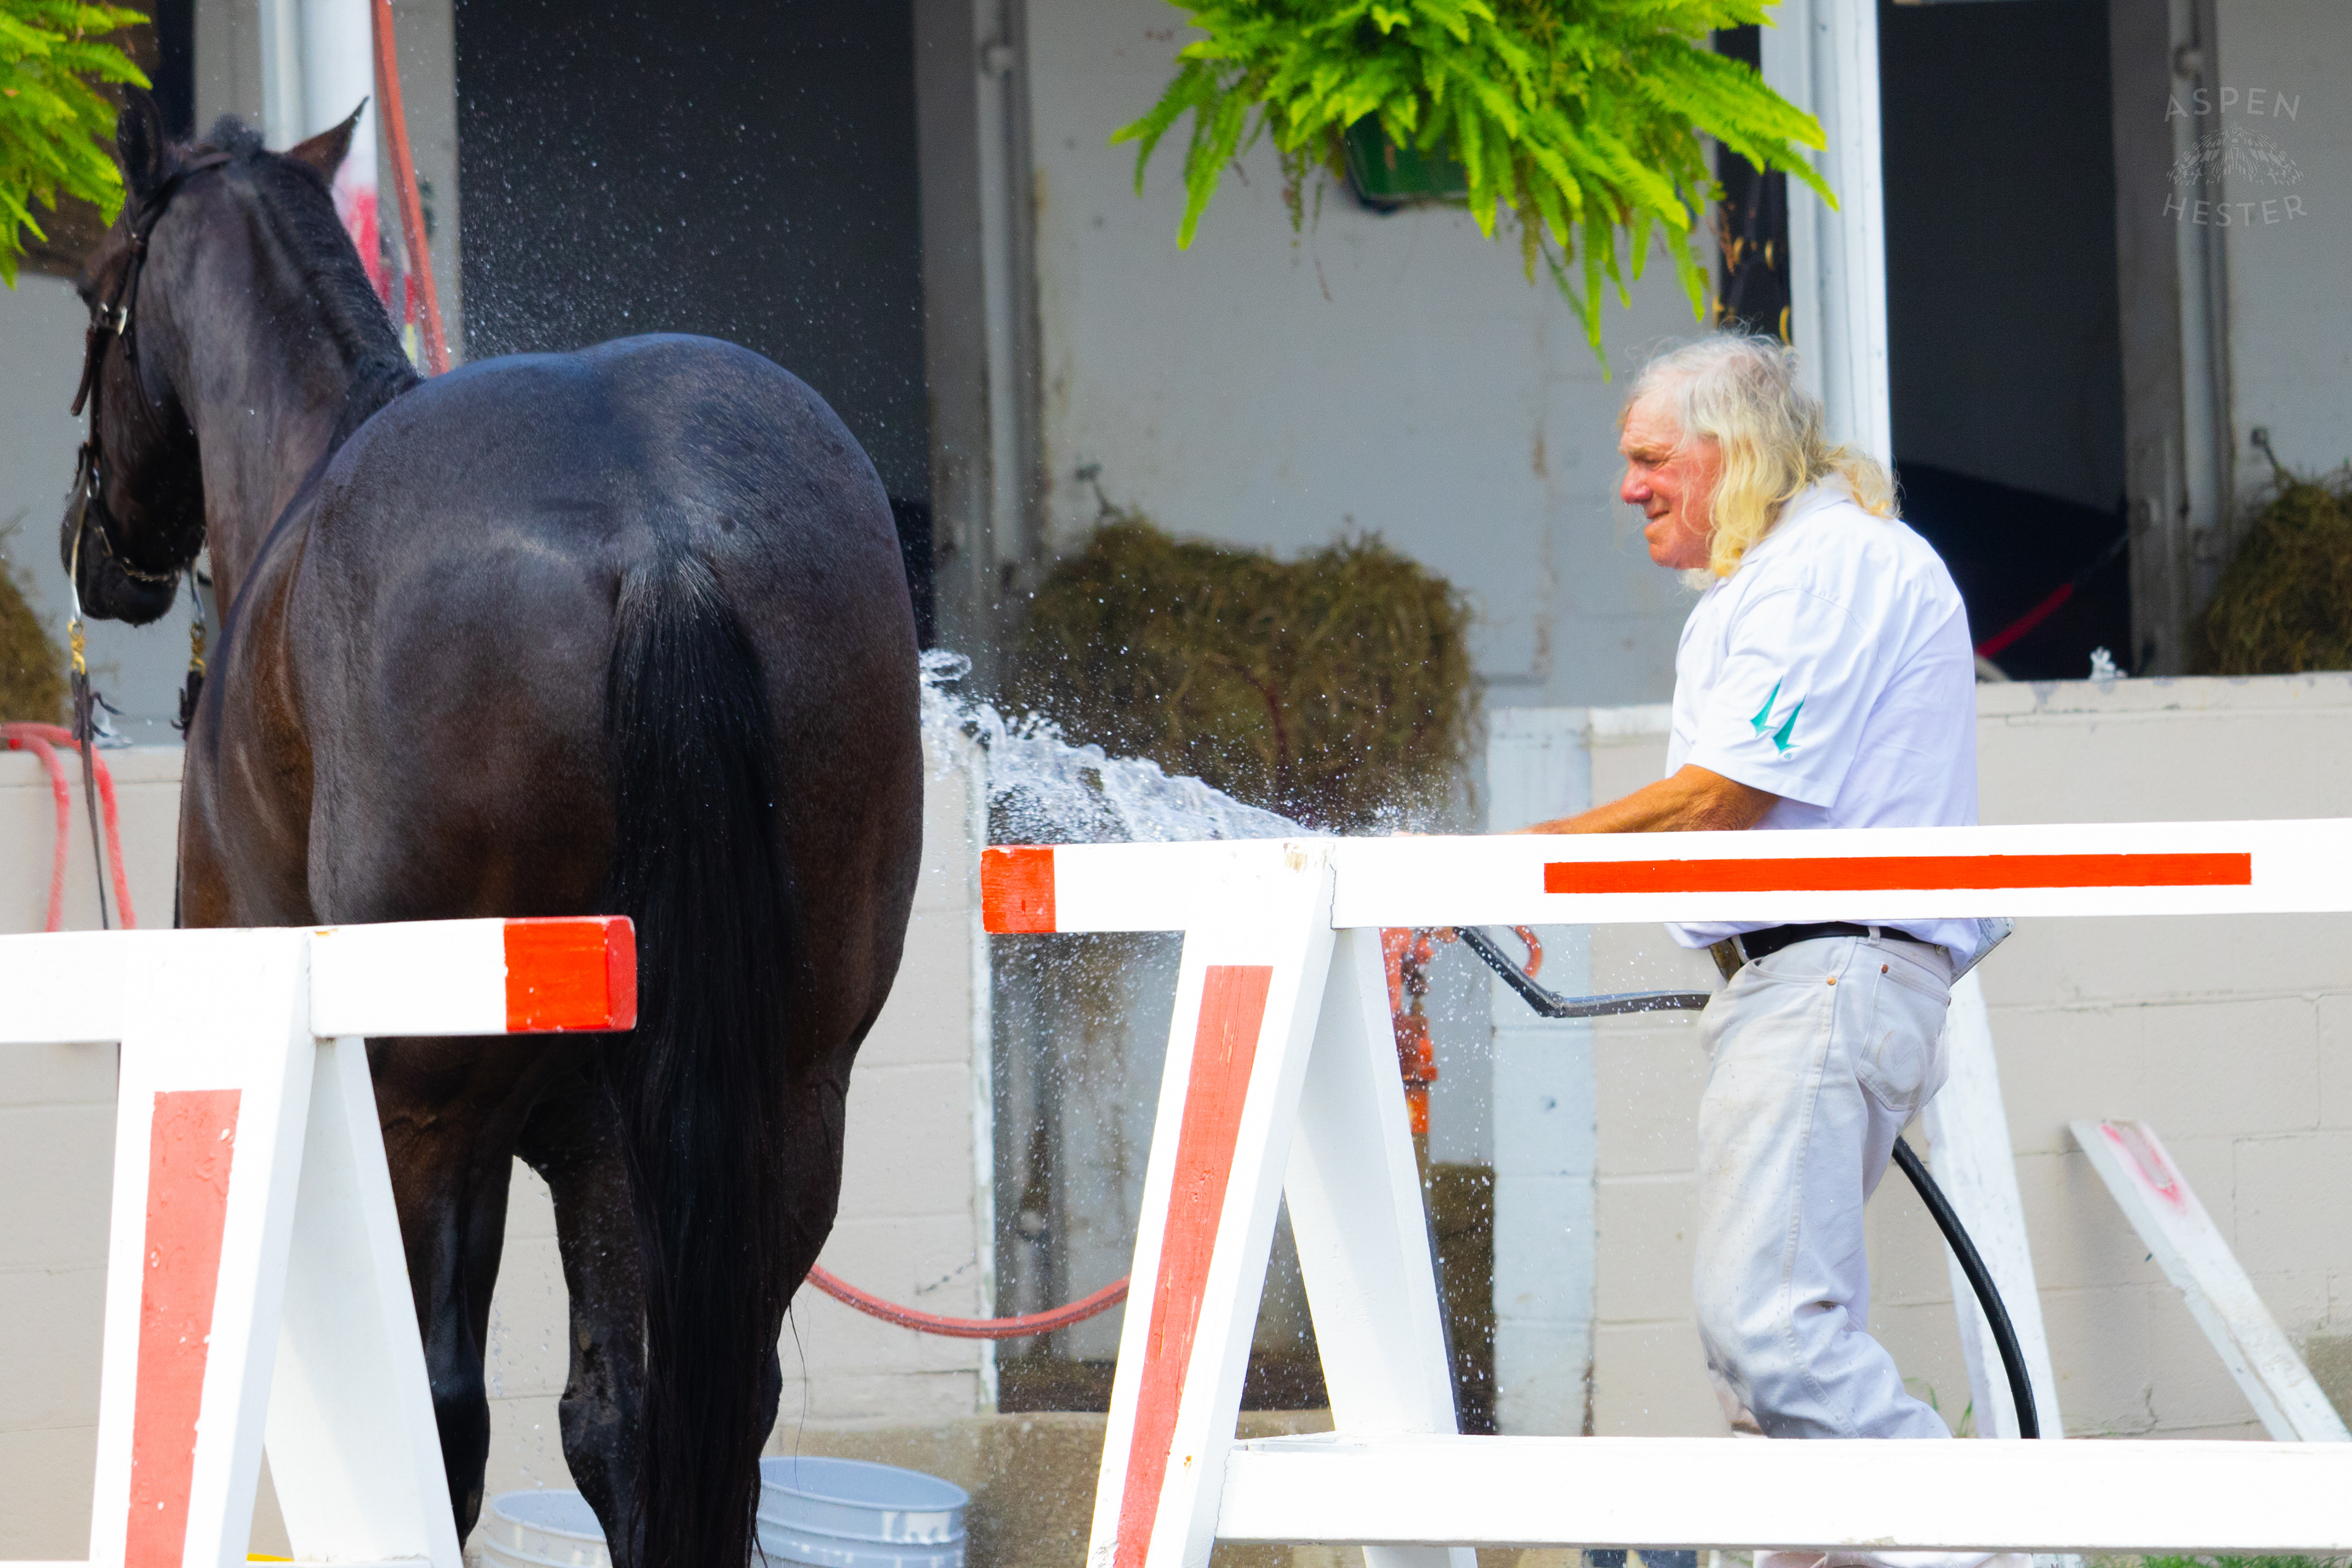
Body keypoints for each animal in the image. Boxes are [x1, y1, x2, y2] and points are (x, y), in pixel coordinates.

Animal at [61, 93, 924, 1568]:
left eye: (98, 288)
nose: (90, 541)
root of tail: (662, 530)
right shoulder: (606, 1142)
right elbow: (615, 1420)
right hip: (786, 1099)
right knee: (697, 1406)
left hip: (431, 1111)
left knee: (442, 1423)